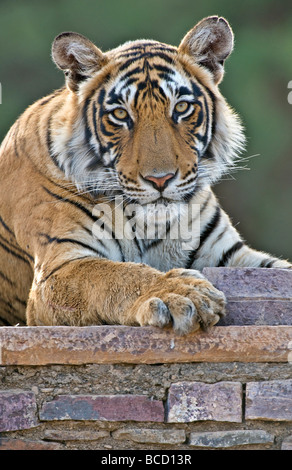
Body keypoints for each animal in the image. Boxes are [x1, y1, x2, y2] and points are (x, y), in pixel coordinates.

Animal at [0, 14, 290, 330]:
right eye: (120, 114)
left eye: (182, 107)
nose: (159, 179)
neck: (151, 225)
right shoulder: (60, 266)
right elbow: (115, 275)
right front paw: (179, 292)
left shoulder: (232, 255)